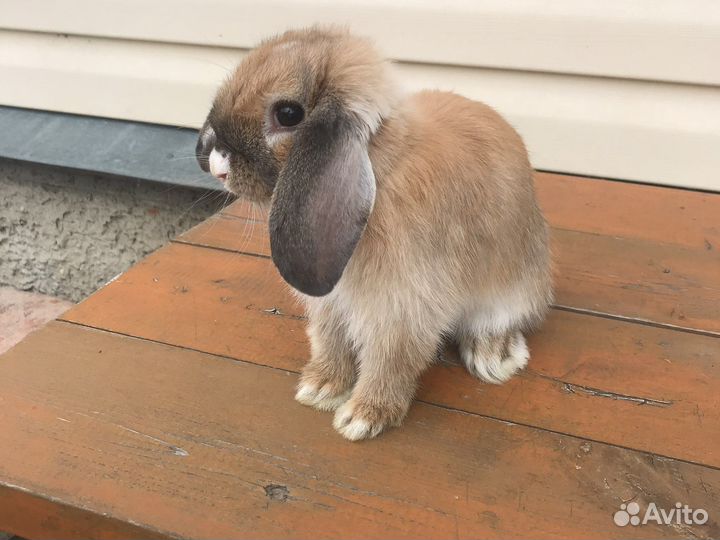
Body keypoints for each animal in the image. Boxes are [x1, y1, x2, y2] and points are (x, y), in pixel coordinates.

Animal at [196, 27, 553, 441]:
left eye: (288, 114)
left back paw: (494, 357)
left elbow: (391, 360)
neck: (378, 174)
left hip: (512, 288)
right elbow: (330, 341)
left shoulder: (403, 307)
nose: (217, 166)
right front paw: (320, 388)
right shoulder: (331, 304)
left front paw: (362, 417)